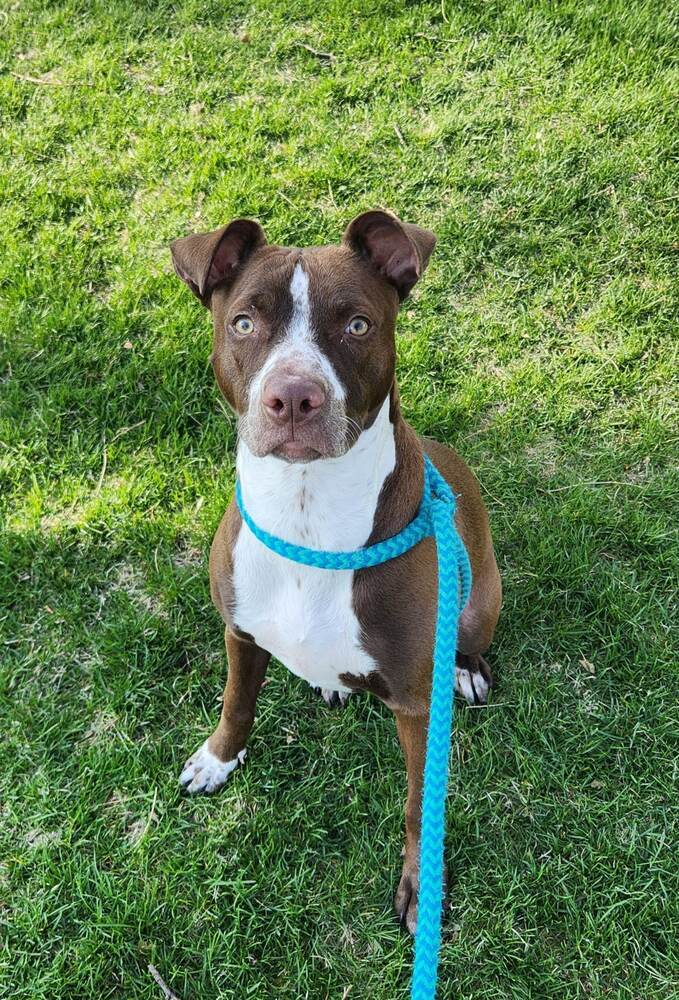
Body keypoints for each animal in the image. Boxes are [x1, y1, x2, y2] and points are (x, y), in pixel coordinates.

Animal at [169, 207, 502, 932]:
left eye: (357, 325)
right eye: (244, 322)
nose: (294, 397)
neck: (307, 515)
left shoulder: (416, 705)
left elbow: (419, 803)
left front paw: (422, 888)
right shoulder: (240, 631)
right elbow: (236, 702)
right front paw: (217, 758)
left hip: (481, 599)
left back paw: (465, 669)